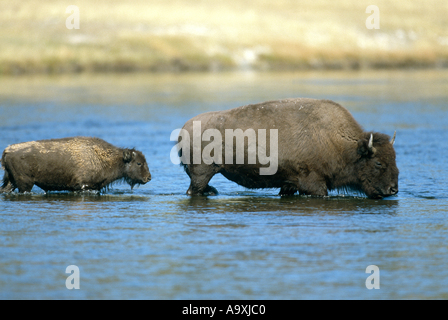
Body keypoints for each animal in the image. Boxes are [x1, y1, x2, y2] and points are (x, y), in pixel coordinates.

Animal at [0, 137, 151, 194]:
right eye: (139, 163)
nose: (148, 177)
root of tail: (8, 150)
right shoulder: (83, 186)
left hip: (12, 182)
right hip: (25, 183)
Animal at [176, 97, 400, 199]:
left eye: (394, 159)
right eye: (378, 163)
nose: (393, 189)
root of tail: (184, 129)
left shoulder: (289, 183)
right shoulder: (314, 183)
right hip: (202, 173)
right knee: (194, 189)